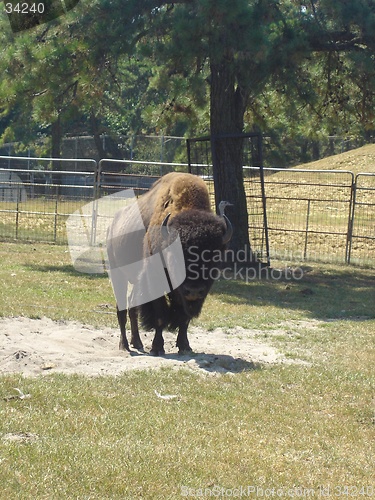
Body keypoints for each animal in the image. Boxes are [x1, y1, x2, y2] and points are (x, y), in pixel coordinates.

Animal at [106, 172, 234, 356]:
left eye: (214, 256)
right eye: (176, 256)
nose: (194, 290)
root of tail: (112, 225)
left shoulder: (182, 294)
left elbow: (184, 318)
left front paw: (185, 346)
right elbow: (160, 315)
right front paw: (157, 347)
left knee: (132, 308)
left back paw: (137, 342)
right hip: (117, 275)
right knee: (122, 309)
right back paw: (124, 345)